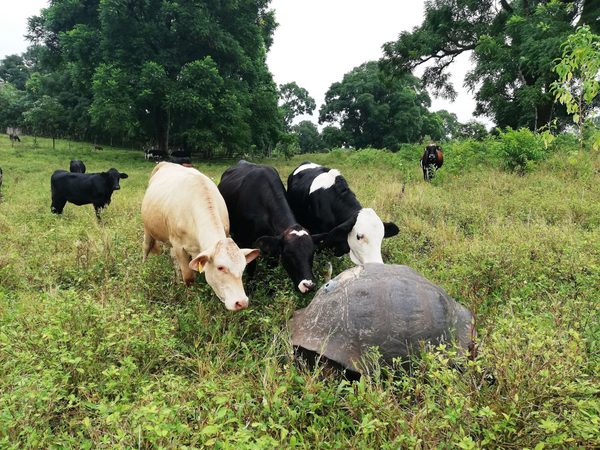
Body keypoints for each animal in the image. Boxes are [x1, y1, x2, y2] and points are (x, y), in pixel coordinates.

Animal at [144, 163, 262, 312]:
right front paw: (190, 298)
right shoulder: (179, 246)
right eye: (220, 267)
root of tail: (165, 163)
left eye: (243, 268)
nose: (241, 302)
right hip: (148, 230)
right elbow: (188, 277)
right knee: (146, 248)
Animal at [219, 160, 326, 294]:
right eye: (289, 253)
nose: (309, 285)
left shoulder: (274, 242)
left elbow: (271, 266)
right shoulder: (246, 239)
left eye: (312, 252)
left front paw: (270, 290)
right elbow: (251, 265)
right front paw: (250, 288)